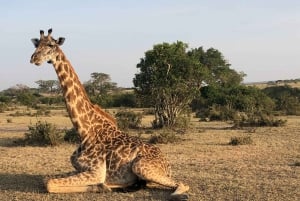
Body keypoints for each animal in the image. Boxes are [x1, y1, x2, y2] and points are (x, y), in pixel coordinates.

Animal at [30, 29, 190, 200]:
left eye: (51, 45)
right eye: (36, 44)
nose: (34, 58)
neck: (85, 131)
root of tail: (167, 163)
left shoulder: (97, 171)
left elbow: (49, 183)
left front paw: (101, 186)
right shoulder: (80, 168)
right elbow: (47, 180)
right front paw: (102, 186)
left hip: (141, 166)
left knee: (182, 184)